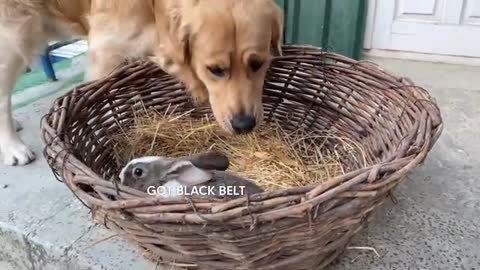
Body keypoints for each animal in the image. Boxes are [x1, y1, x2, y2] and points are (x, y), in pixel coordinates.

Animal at [0, 0, 284, 166]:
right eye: (215, 70)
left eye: (258, 63)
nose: (244, 125)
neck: (153, 8)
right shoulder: (105, 55)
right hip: (14, 37)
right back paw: (14, 147)